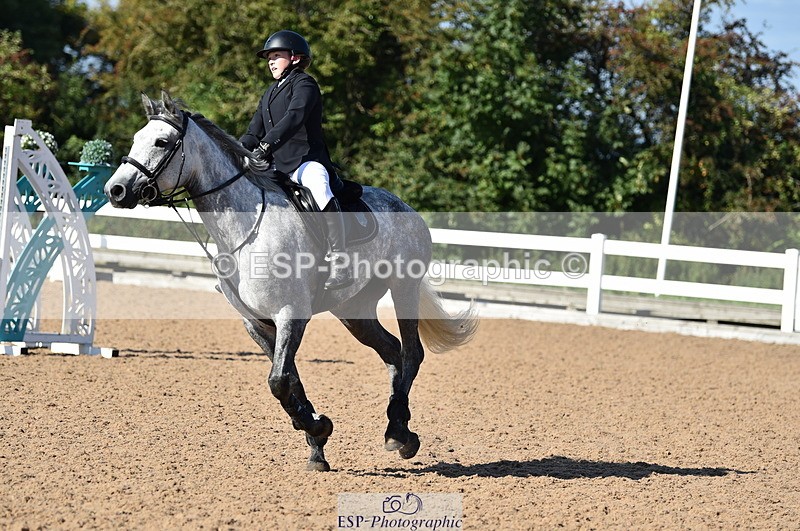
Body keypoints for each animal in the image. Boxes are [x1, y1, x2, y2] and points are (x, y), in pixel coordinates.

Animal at [104, 91, 478, 471]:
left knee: (411, 353)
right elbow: (289, 380)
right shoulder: (256, 323)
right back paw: (398, 429)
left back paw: (400, 432)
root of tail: (403, 205)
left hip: (403, 288)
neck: (246, 231)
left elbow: (278, 381)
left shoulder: (290, 313)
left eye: (162, 142)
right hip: (353, 309)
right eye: (136, 138)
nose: (115, 190)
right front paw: (316, 443)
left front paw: (318, 426)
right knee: (392, 351)